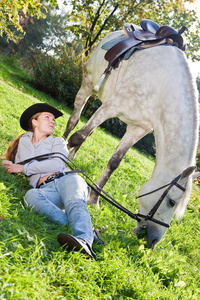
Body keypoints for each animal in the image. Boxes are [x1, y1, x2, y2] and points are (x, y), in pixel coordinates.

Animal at [62, 29, 198, 247]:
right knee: (73, 123)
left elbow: (114, 162)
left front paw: (94, 199)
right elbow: (78, 136)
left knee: (87, 134)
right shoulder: (111, 106)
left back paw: (72, 159)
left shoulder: (138, 128)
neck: (161, 85)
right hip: (88, 85)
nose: (154, 241)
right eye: (171, 202)